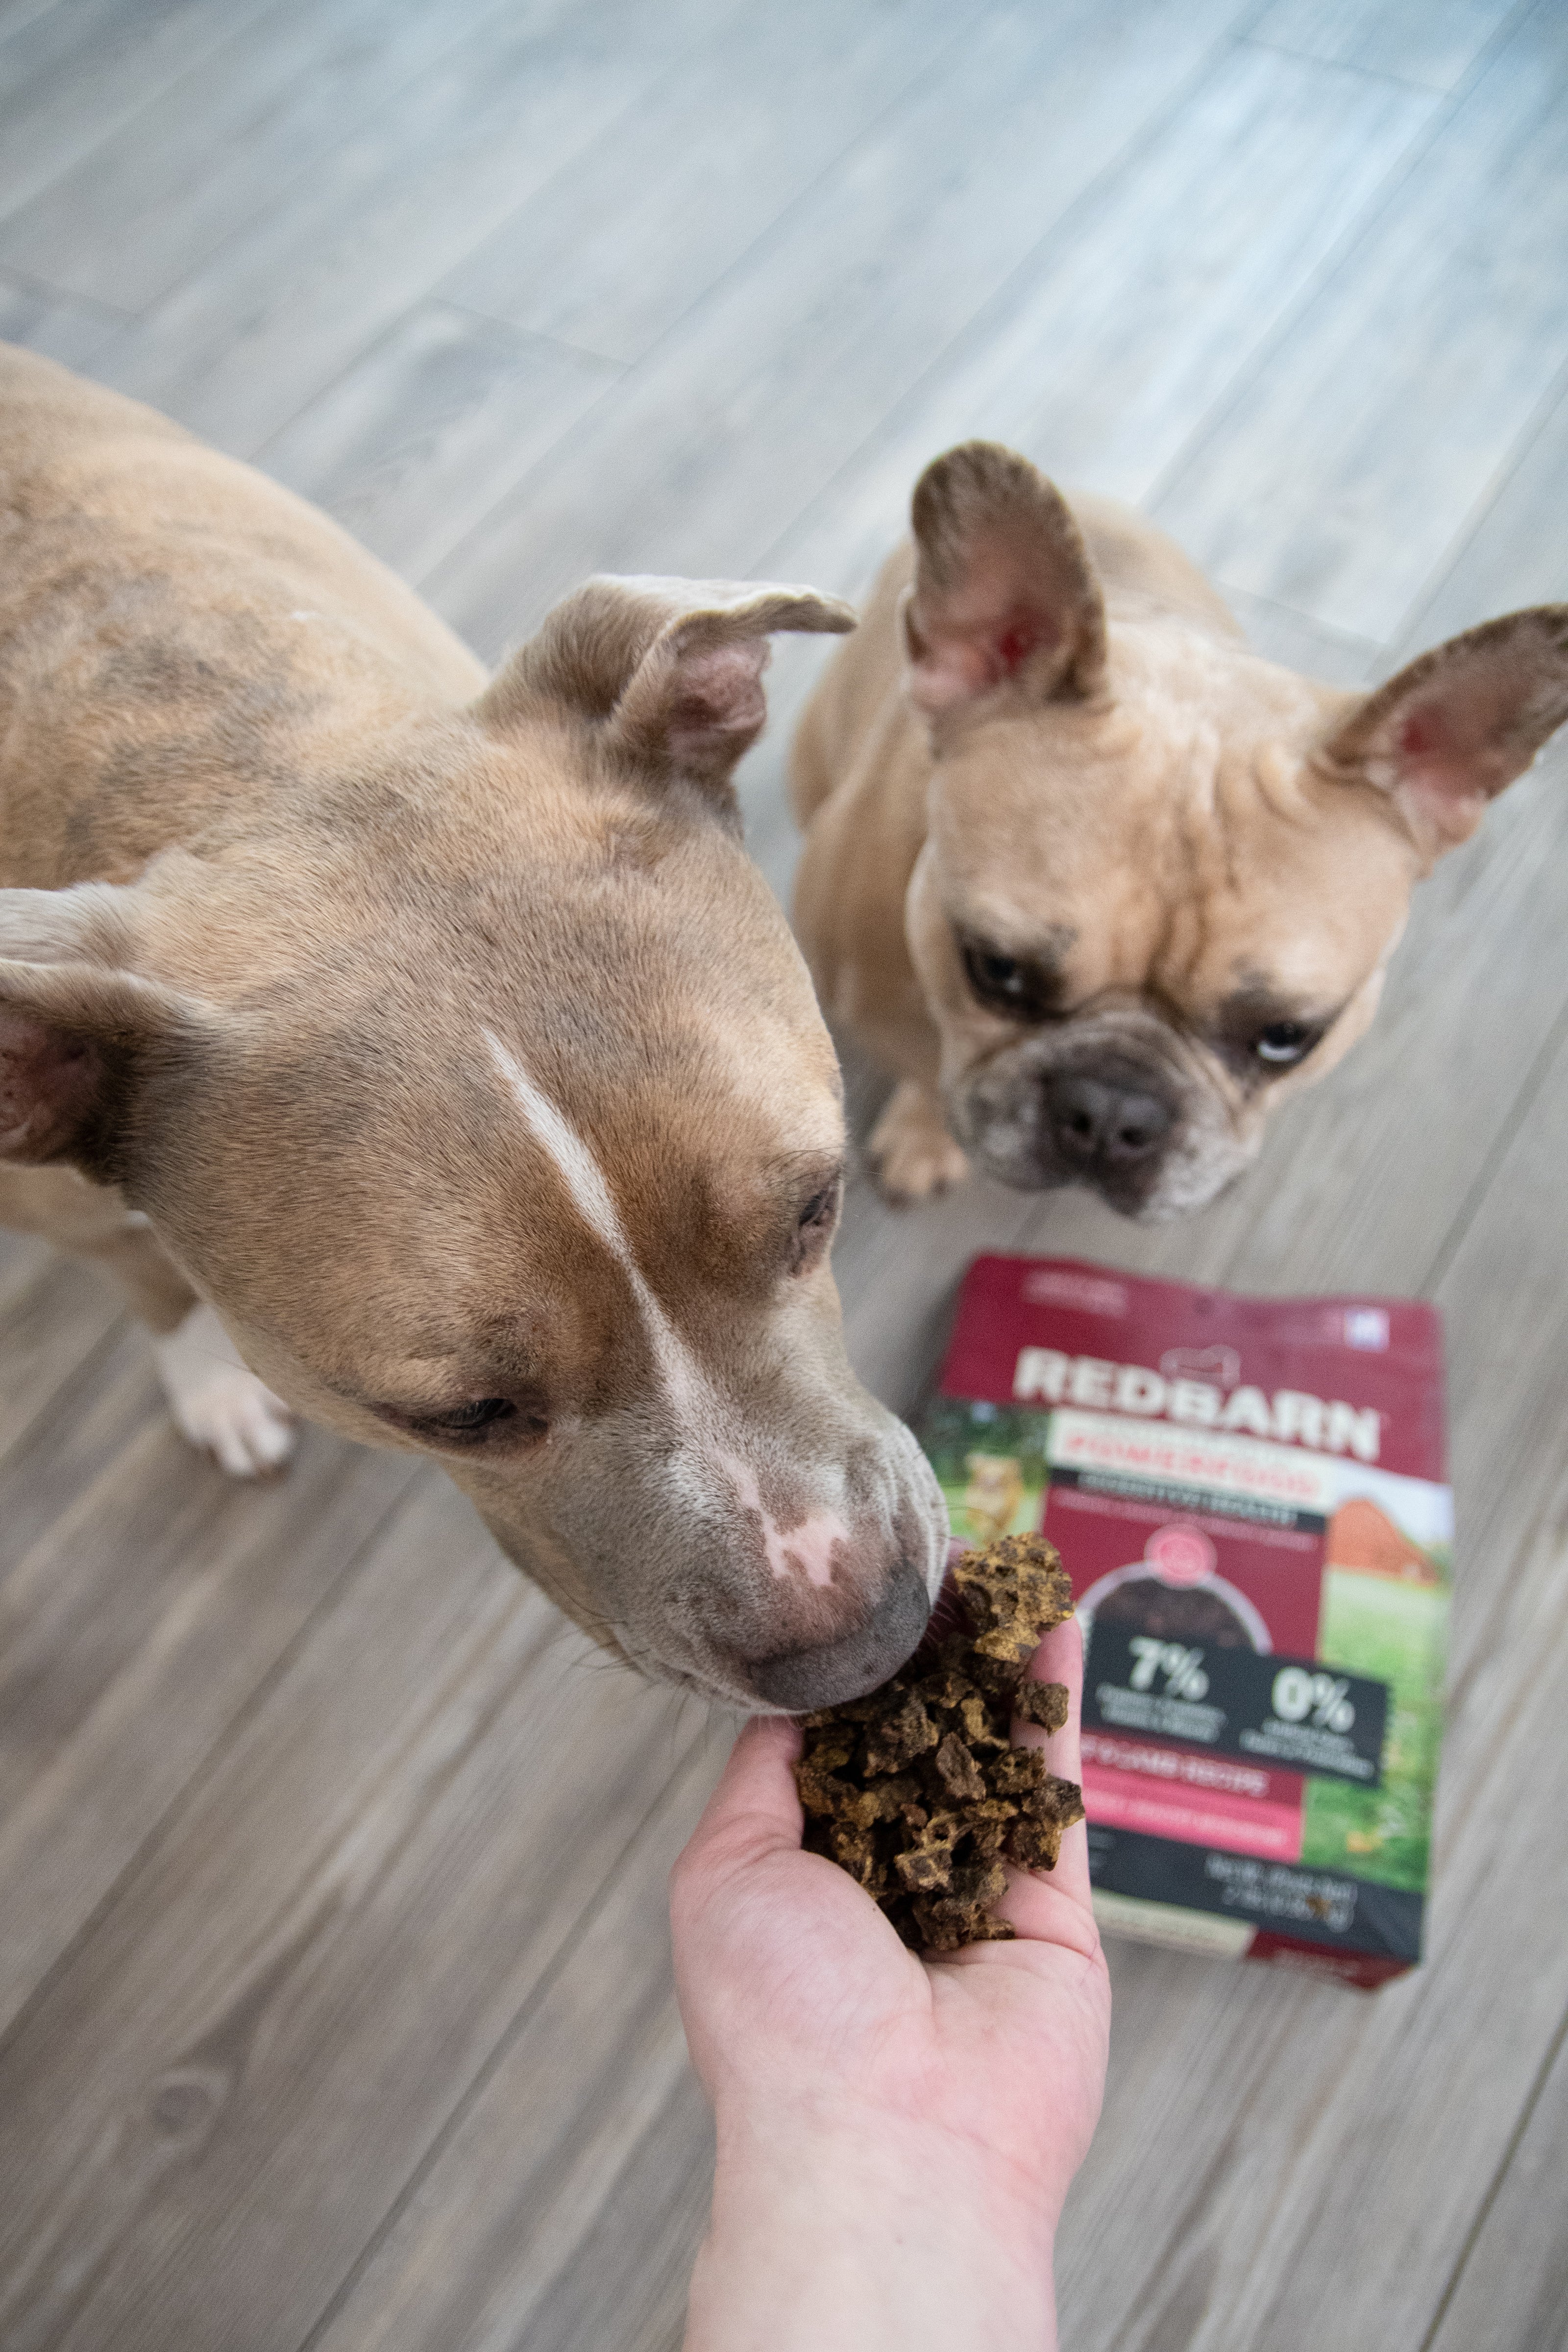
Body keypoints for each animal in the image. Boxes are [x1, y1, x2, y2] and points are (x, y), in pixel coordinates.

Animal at [0, 348, 945, 1712]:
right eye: (465, 1416)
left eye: (818, 1207)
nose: (861, 1648)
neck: (248, 765)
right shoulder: (65, 1206)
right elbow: (153, 1285)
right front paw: (211, 1385)